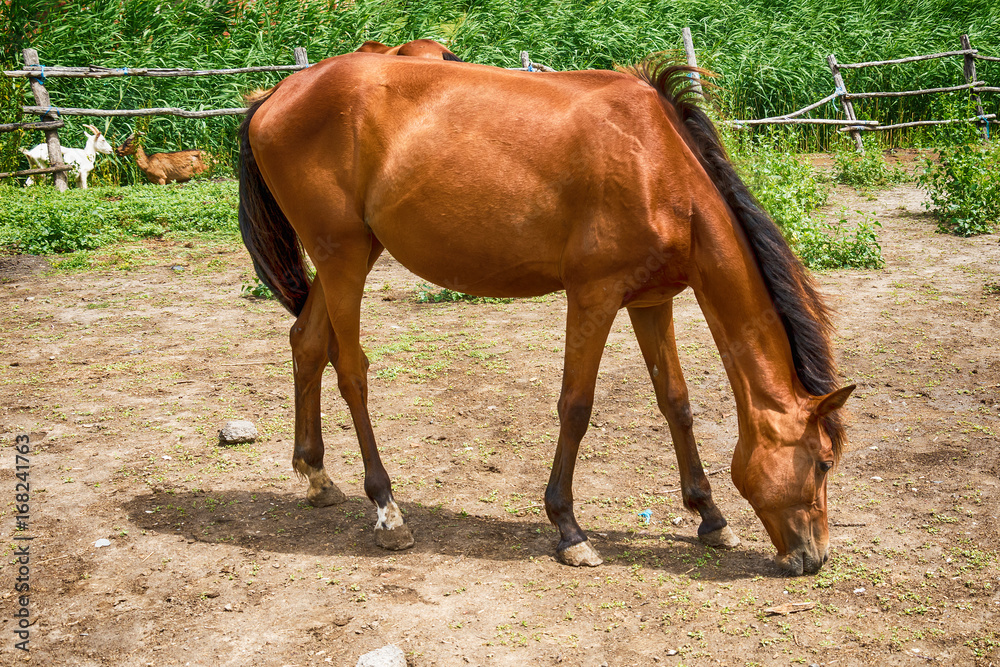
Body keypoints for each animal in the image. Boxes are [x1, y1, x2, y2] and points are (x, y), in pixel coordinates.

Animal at [238, 52, 855, 576]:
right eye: (823, 462)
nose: (814, 557)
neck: (656, 165)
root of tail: (276, 93)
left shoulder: (652, 302)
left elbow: (676, 404)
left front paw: (711, 517)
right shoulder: (593, 297)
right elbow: (576, 407)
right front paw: (569, 529)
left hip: (351, 253)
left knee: (306, 342)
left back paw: (317, 477)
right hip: (341, 256)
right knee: (351, 371)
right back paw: (388, 511)